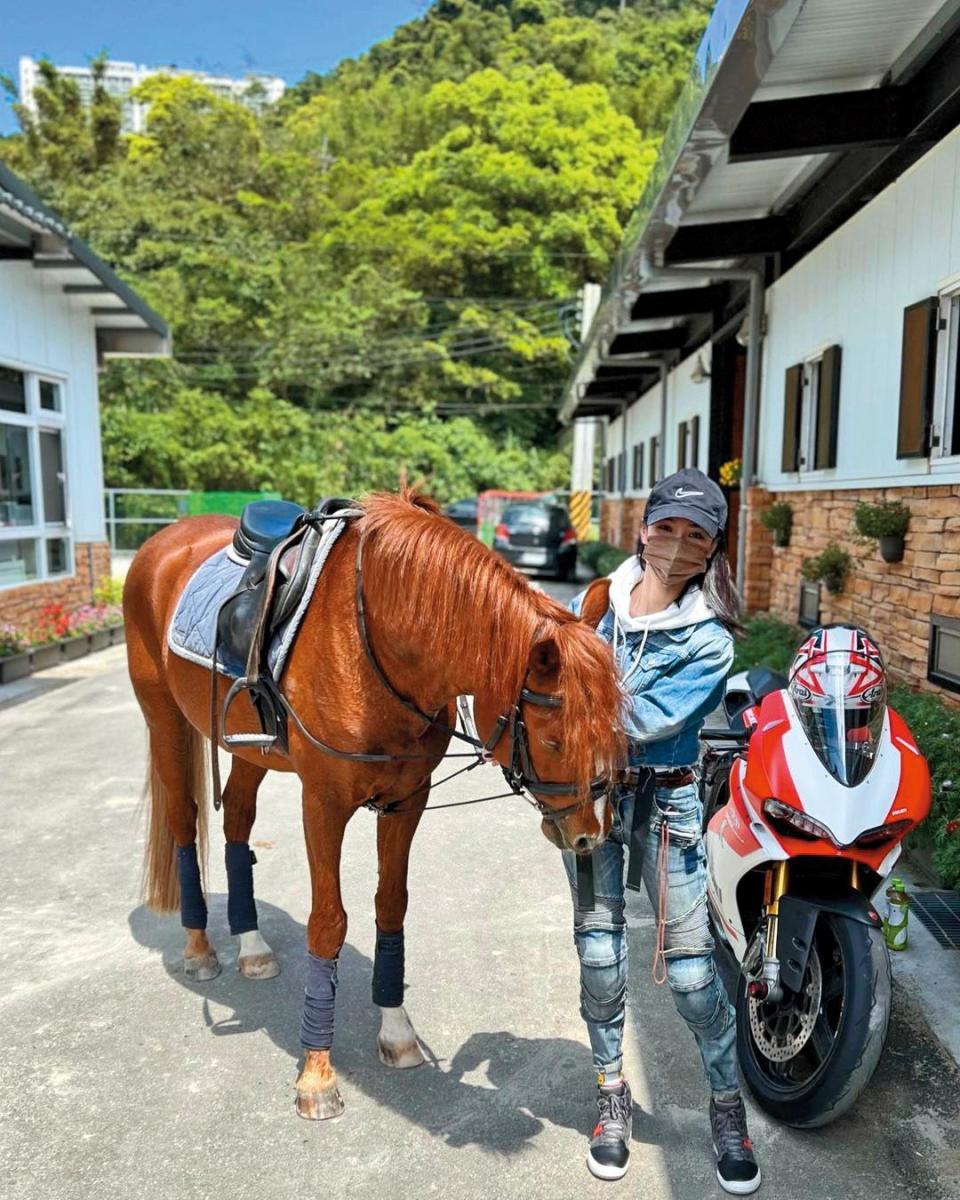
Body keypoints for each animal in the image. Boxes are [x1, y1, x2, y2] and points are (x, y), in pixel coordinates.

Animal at [125, 487, 624, 1113]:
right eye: (555, 738)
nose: (590, 833)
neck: (375, 640)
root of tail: (163, 543)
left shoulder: (407, 800)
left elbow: (392, 906)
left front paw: (396, 1030)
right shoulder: (323, 803)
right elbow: (328, 923)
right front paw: (317, 1073)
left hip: (248, 747)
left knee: (237, 820)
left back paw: (252, 945)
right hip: (164, 718)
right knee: (184, 823)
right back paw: (199, 949)